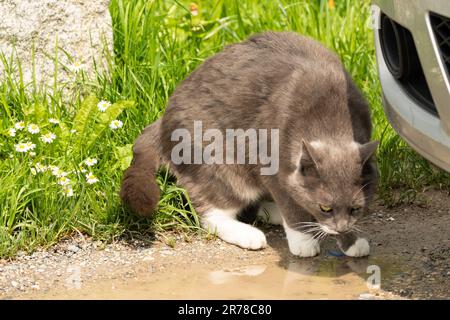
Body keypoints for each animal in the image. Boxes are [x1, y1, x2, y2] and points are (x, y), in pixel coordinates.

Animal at [118, 31, 378, 258]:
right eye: (325, 208)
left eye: (355, 209)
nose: (341, 228)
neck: (329, 121)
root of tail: (162, 120)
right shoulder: (275, 169)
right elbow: (291, 208)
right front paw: (304, 241)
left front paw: (351, 242)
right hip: (221, 165)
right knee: (211, 212)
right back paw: (250, 234)